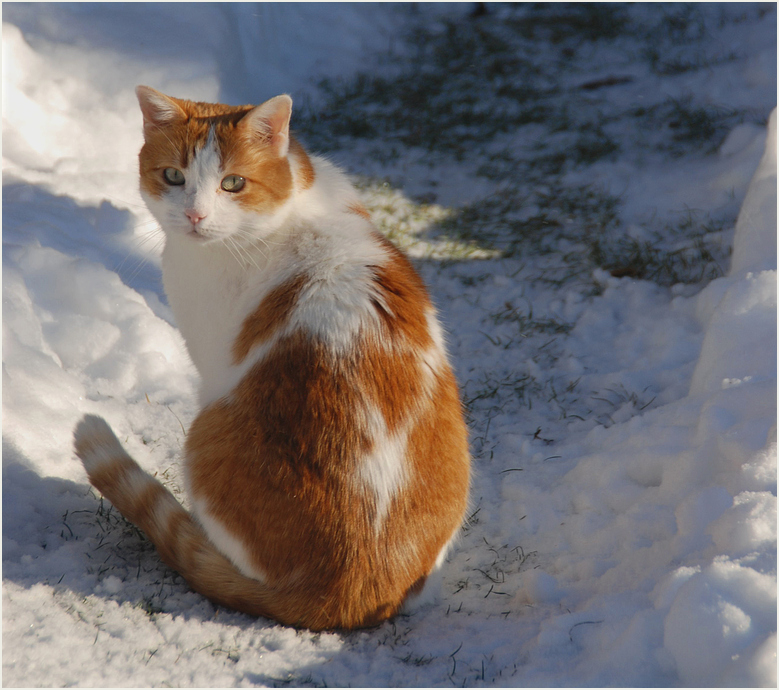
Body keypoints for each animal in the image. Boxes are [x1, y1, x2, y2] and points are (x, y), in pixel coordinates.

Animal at [73, 86, 472, 628]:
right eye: (173, 176)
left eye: (233, 183)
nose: (195, 216)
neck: (287, 211)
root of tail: (346, 593)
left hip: (208, 432)